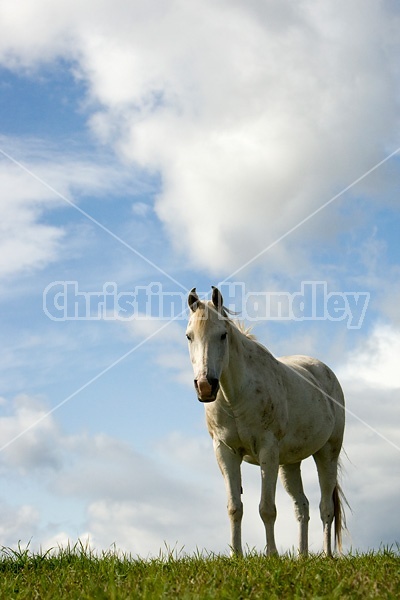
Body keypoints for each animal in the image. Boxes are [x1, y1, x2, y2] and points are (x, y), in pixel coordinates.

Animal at [186, 288, 346, 556]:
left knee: (326, 508)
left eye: (222, 335)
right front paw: (236, 555)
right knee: (302, 506)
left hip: (327, 453)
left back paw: (327, 556)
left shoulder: (267, 451)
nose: (206, 386)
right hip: (289, 464)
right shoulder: (225, 452)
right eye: (189, 336)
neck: (235, 397)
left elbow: (267, 509)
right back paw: (302, 556)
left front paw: (272, 555)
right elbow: (235, 507)